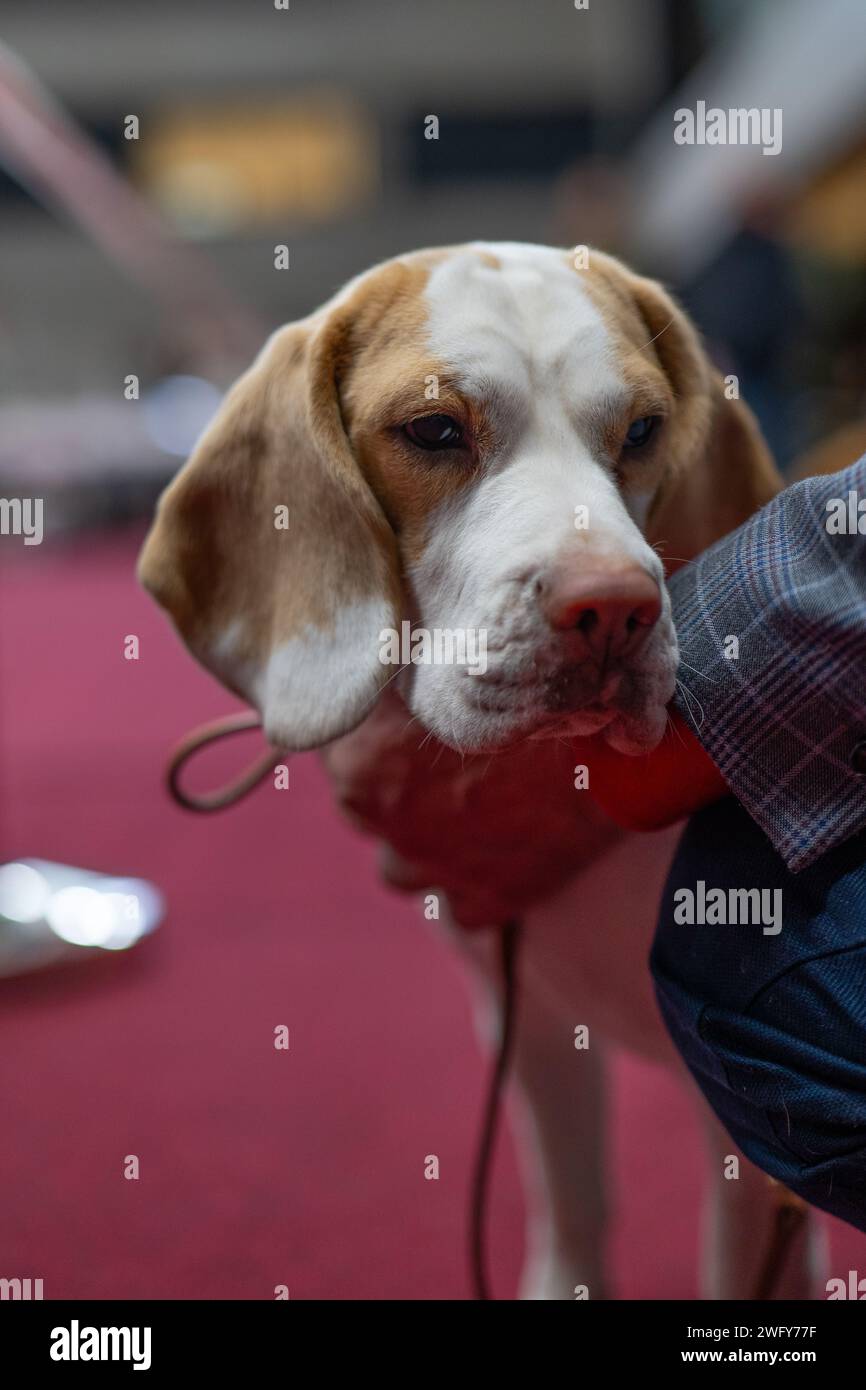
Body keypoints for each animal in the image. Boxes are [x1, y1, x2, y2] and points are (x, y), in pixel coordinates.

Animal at [139, 241, 822, 1301]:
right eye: (433, 430)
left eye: (643, 430)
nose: (613, 609)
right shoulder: (531, 1024)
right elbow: (573, 1210)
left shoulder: (750, 1137)